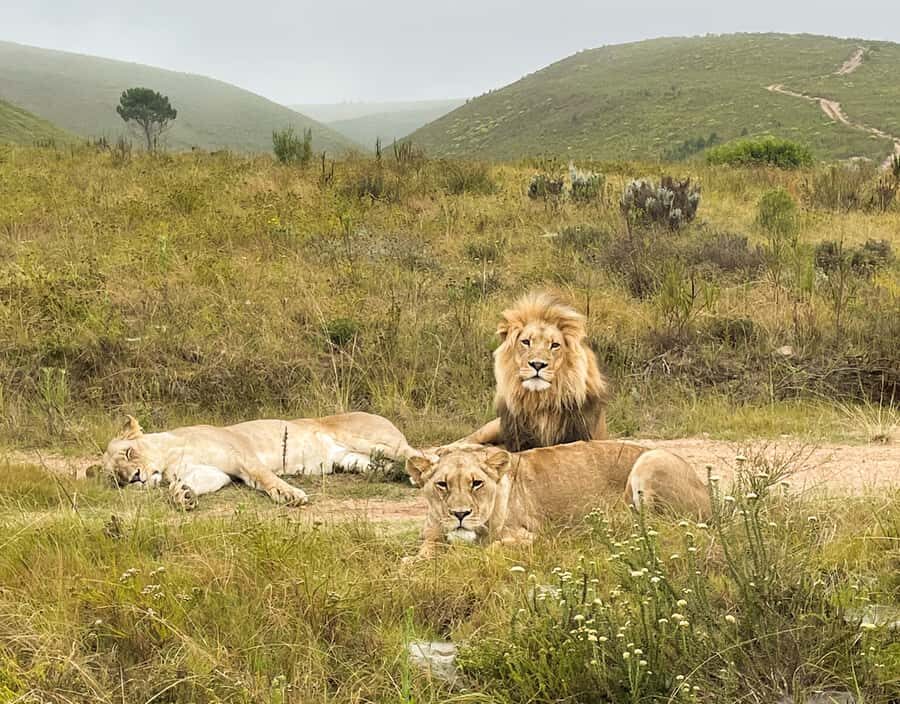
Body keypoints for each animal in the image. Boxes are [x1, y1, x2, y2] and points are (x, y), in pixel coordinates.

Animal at [102, 412, 422, 510]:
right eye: (117, 477)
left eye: (128, 453)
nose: (134, 477)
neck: (169, 456)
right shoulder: (214, 473)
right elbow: (184, 485)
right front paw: (184, 496)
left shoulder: (242, 456)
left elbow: (267, 478)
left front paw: (290, 495)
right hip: (356, 460)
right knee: (387, 464)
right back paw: (395, 474)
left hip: (374, 439)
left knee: (416, 451)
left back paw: (422, 472)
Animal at [406, 440, 710, 559]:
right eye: (442, 485)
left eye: (476, 483)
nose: (460, 515)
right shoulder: (431, 535)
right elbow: (422, 552)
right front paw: (417, 560)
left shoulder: (529, 537)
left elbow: (491, 549)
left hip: (651, 460)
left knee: (661, 527)